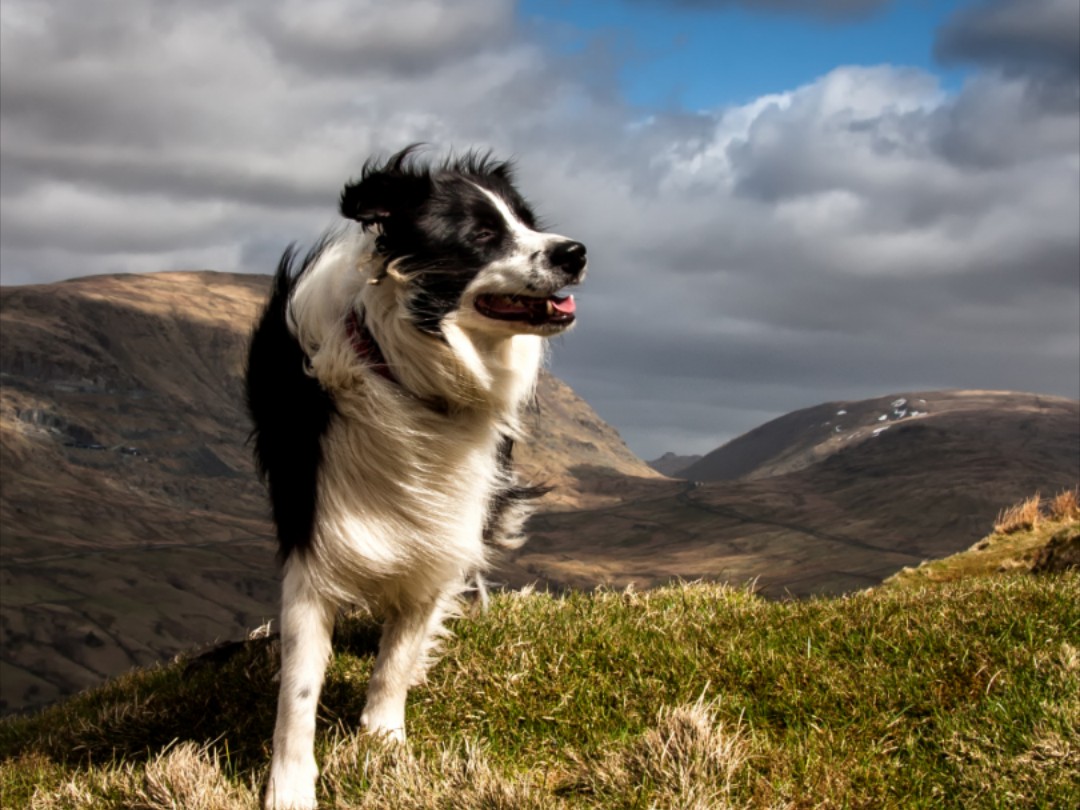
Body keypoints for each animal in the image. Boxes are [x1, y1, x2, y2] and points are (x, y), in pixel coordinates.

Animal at [245, 147, 587, 810]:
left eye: (527, 222)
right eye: (481, 235)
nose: (576, 252)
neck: (404, 368)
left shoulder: (441, 531)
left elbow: (397, 657)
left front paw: (383, 743)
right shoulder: (314, 532)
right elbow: (299, 686)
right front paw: (290, 785)